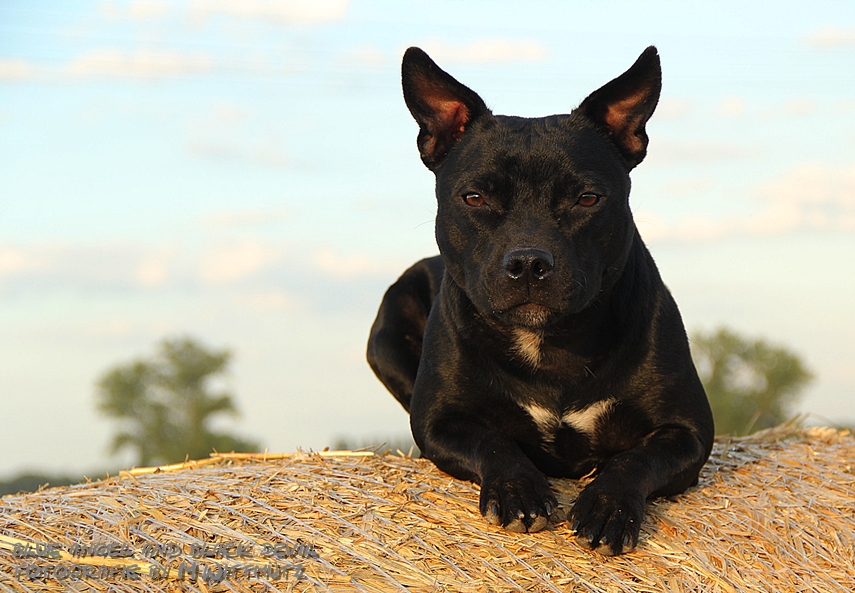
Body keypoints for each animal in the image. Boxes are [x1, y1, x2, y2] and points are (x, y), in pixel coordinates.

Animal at [368, 46, 716, 556]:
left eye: (588, 198)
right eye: (474, 197)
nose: (529, 262)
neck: (549, 343)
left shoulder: (689, 431)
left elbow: (634, 459)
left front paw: (608, 507)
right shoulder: (439, 423)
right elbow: (494, 443)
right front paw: (518, 489)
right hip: (387, 334)